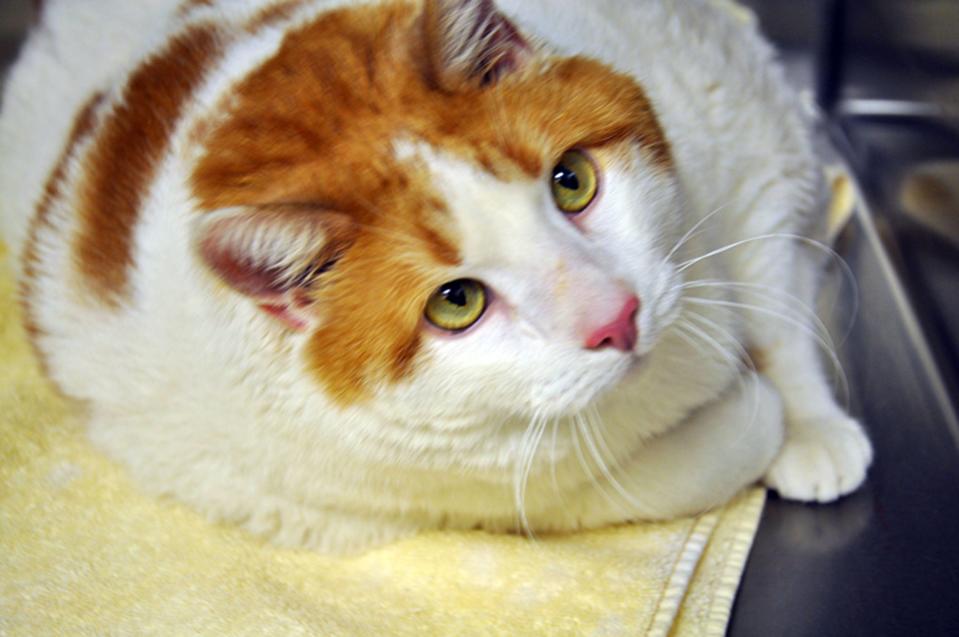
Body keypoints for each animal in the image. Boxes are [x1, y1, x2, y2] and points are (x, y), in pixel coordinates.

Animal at [0, 0, 872, 552]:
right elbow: (676, 463)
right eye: (455, 302)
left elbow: (776, 308)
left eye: (572, 181)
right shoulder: (487, 493)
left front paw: (811, 422)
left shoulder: (742, 138)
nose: (616, 318)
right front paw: (761, 415)